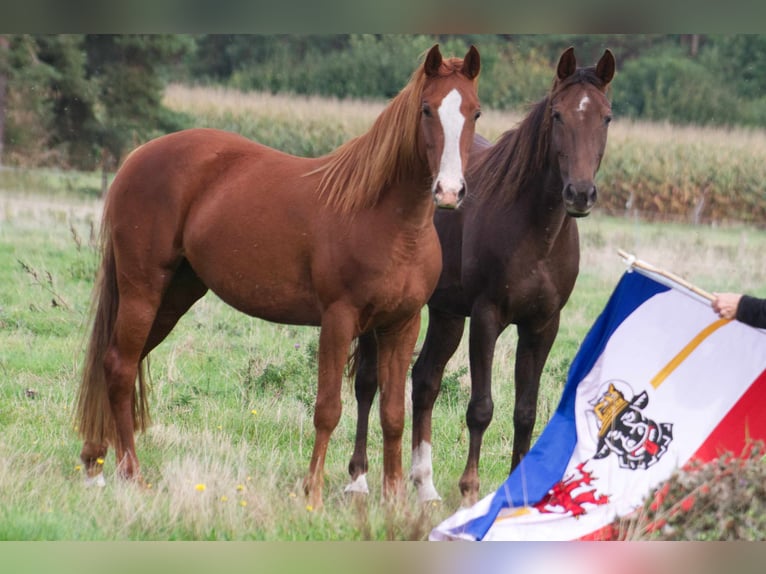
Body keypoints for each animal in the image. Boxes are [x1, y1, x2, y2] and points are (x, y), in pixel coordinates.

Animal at [75, 44, 482, 509]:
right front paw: (313, 493)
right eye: (427, 109)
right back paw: (131, 473)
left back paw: (95, 463)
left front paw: (394, 498)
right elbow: (328, 409)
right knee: (121, 367)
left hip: (173, 296)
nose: (449, 192)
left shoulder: (402, 325)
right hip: (143, 289)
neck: (387, 219)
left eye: (475, 112)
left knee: (117, 363)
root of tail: (136, 158)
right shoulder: (339, 319)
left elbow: (393, 413)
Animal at [347, 46, 615, 505]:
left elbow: (525, 411)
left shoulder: (543, 326)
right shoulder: (487, 318)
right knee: (368, 382)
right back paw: (359, 479)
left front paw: (519, 491)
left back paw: (425, 485)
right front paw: (471, 491)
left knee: (425, 382)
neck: (535, 231)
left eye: (607, 117)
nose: (580, 194)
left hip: (447, 315)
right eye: (558, 115)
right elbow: (481, 408)